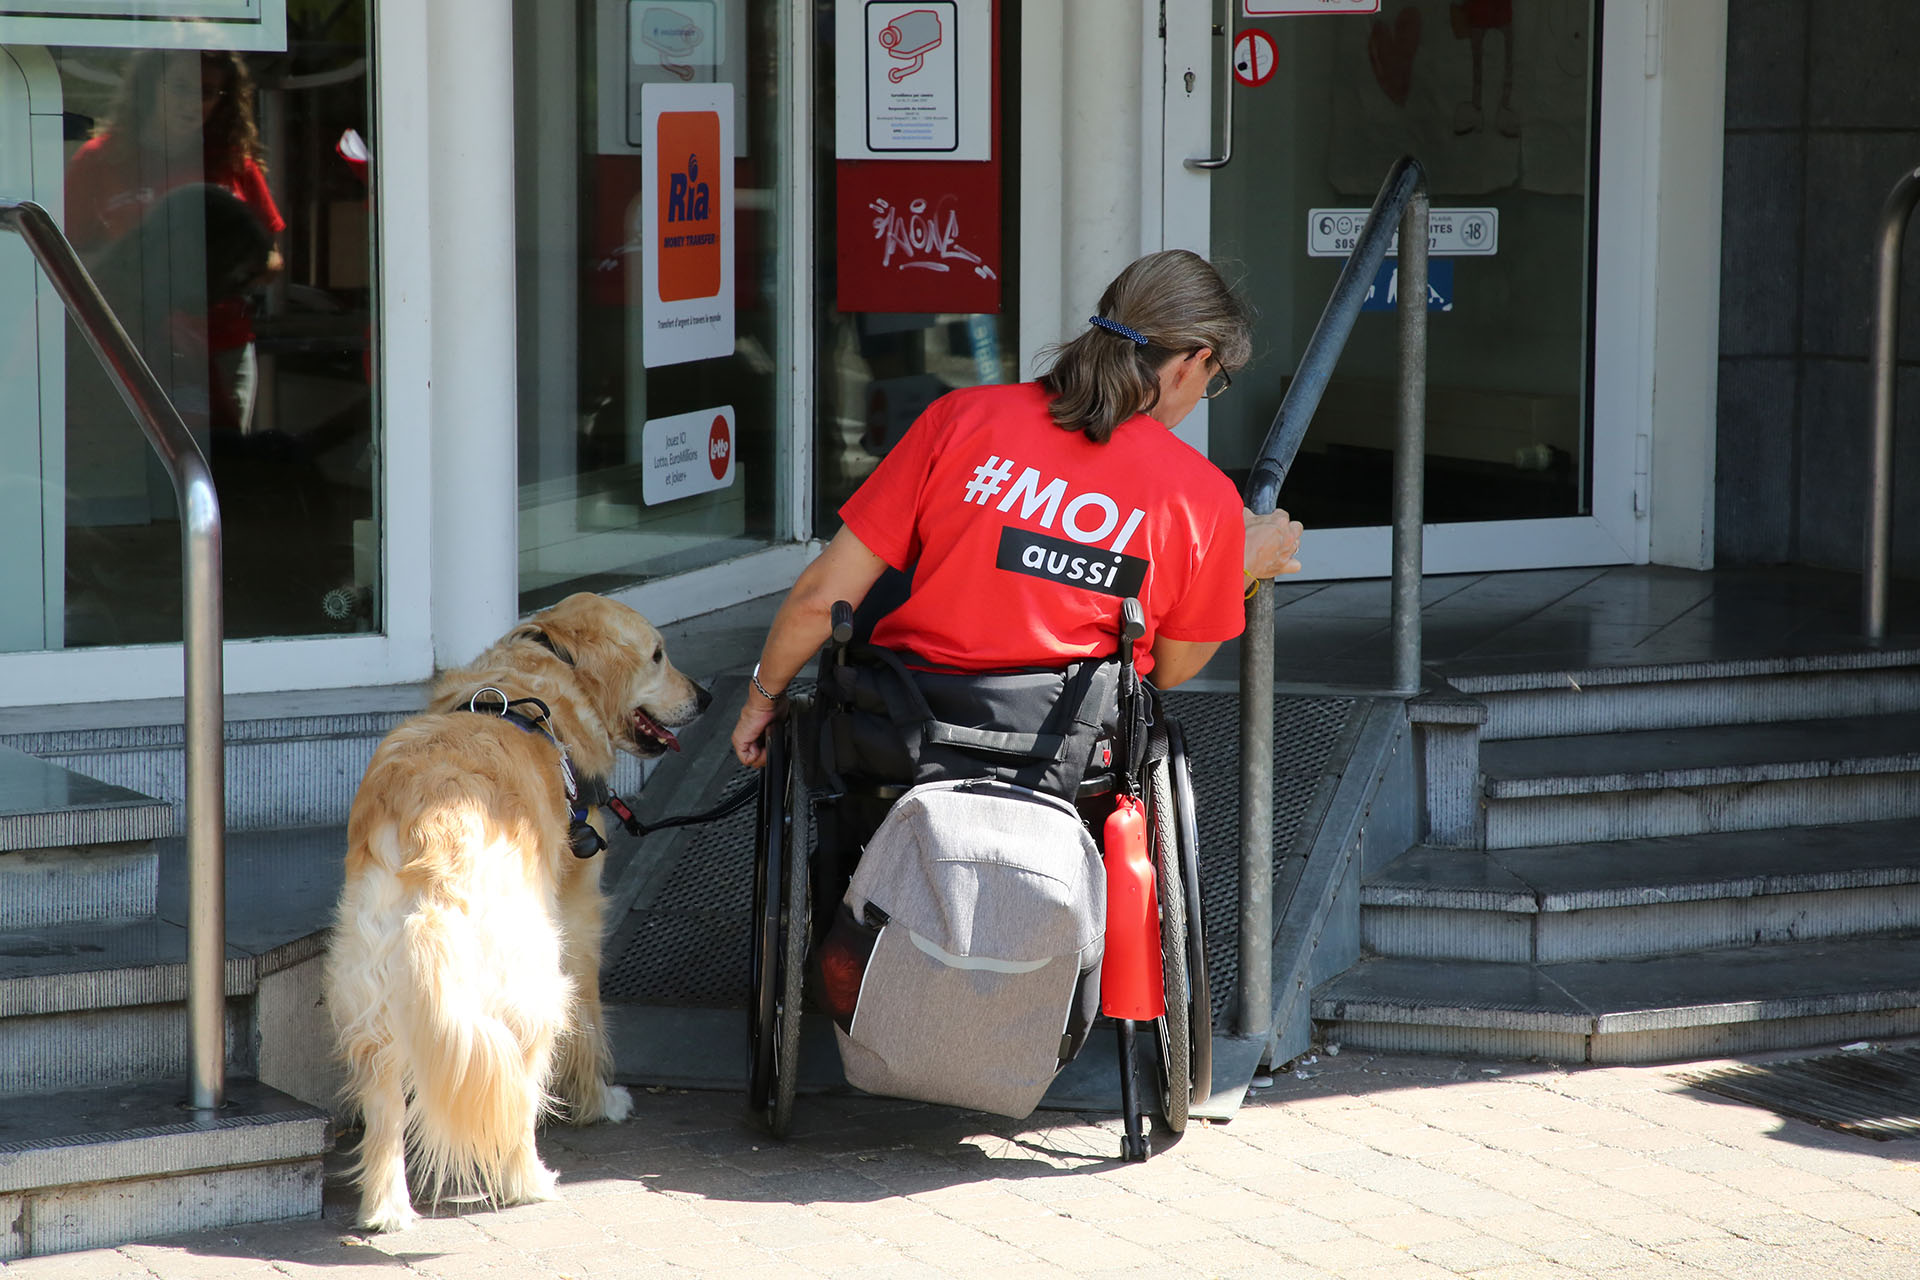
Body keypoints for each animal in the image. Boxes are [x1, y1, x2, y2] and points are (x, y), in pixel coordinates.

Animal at [322, 591, 714, 1228]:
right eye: (658, 655)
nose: (705, 697)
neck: (552, 669)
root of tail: (431, 835)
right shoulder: (579, 914)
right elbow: (592, 1022)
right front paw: (600, 1101)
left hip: (371, 984)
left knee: (386, 1098)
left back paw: (388, 1209)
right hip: (530, 976)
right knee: (518, 1083)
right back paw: (528, 1180)